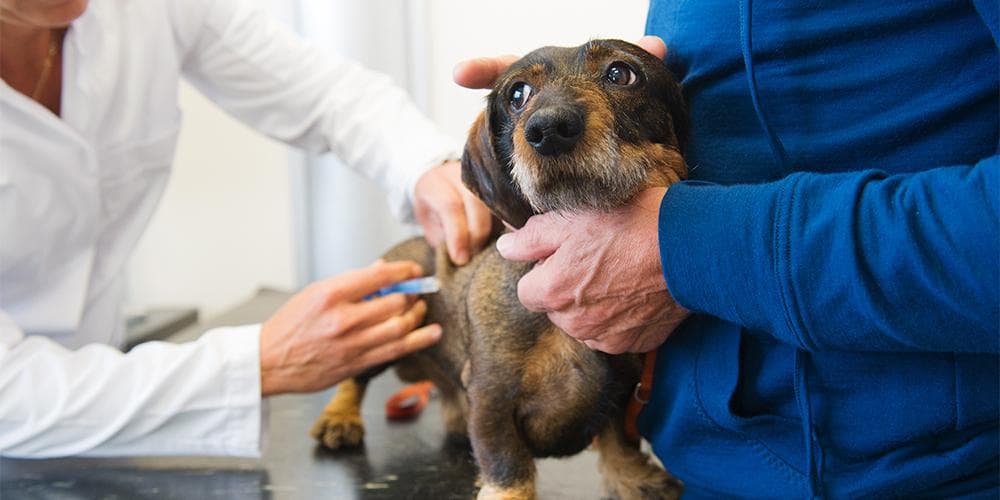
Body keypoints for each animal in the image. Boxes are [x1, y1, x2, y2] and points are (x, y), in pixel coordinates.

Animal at [310, 40, 688, 500]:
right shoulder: (491, 395)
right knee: (356, 377)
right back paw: (340, 418)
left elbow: (619, 441)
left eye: (621, 74)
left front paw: (633, 478)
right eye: (518, 94)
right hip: (392, 319)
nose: (548, 129)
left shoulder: (622, 390)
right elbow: (507, 464)